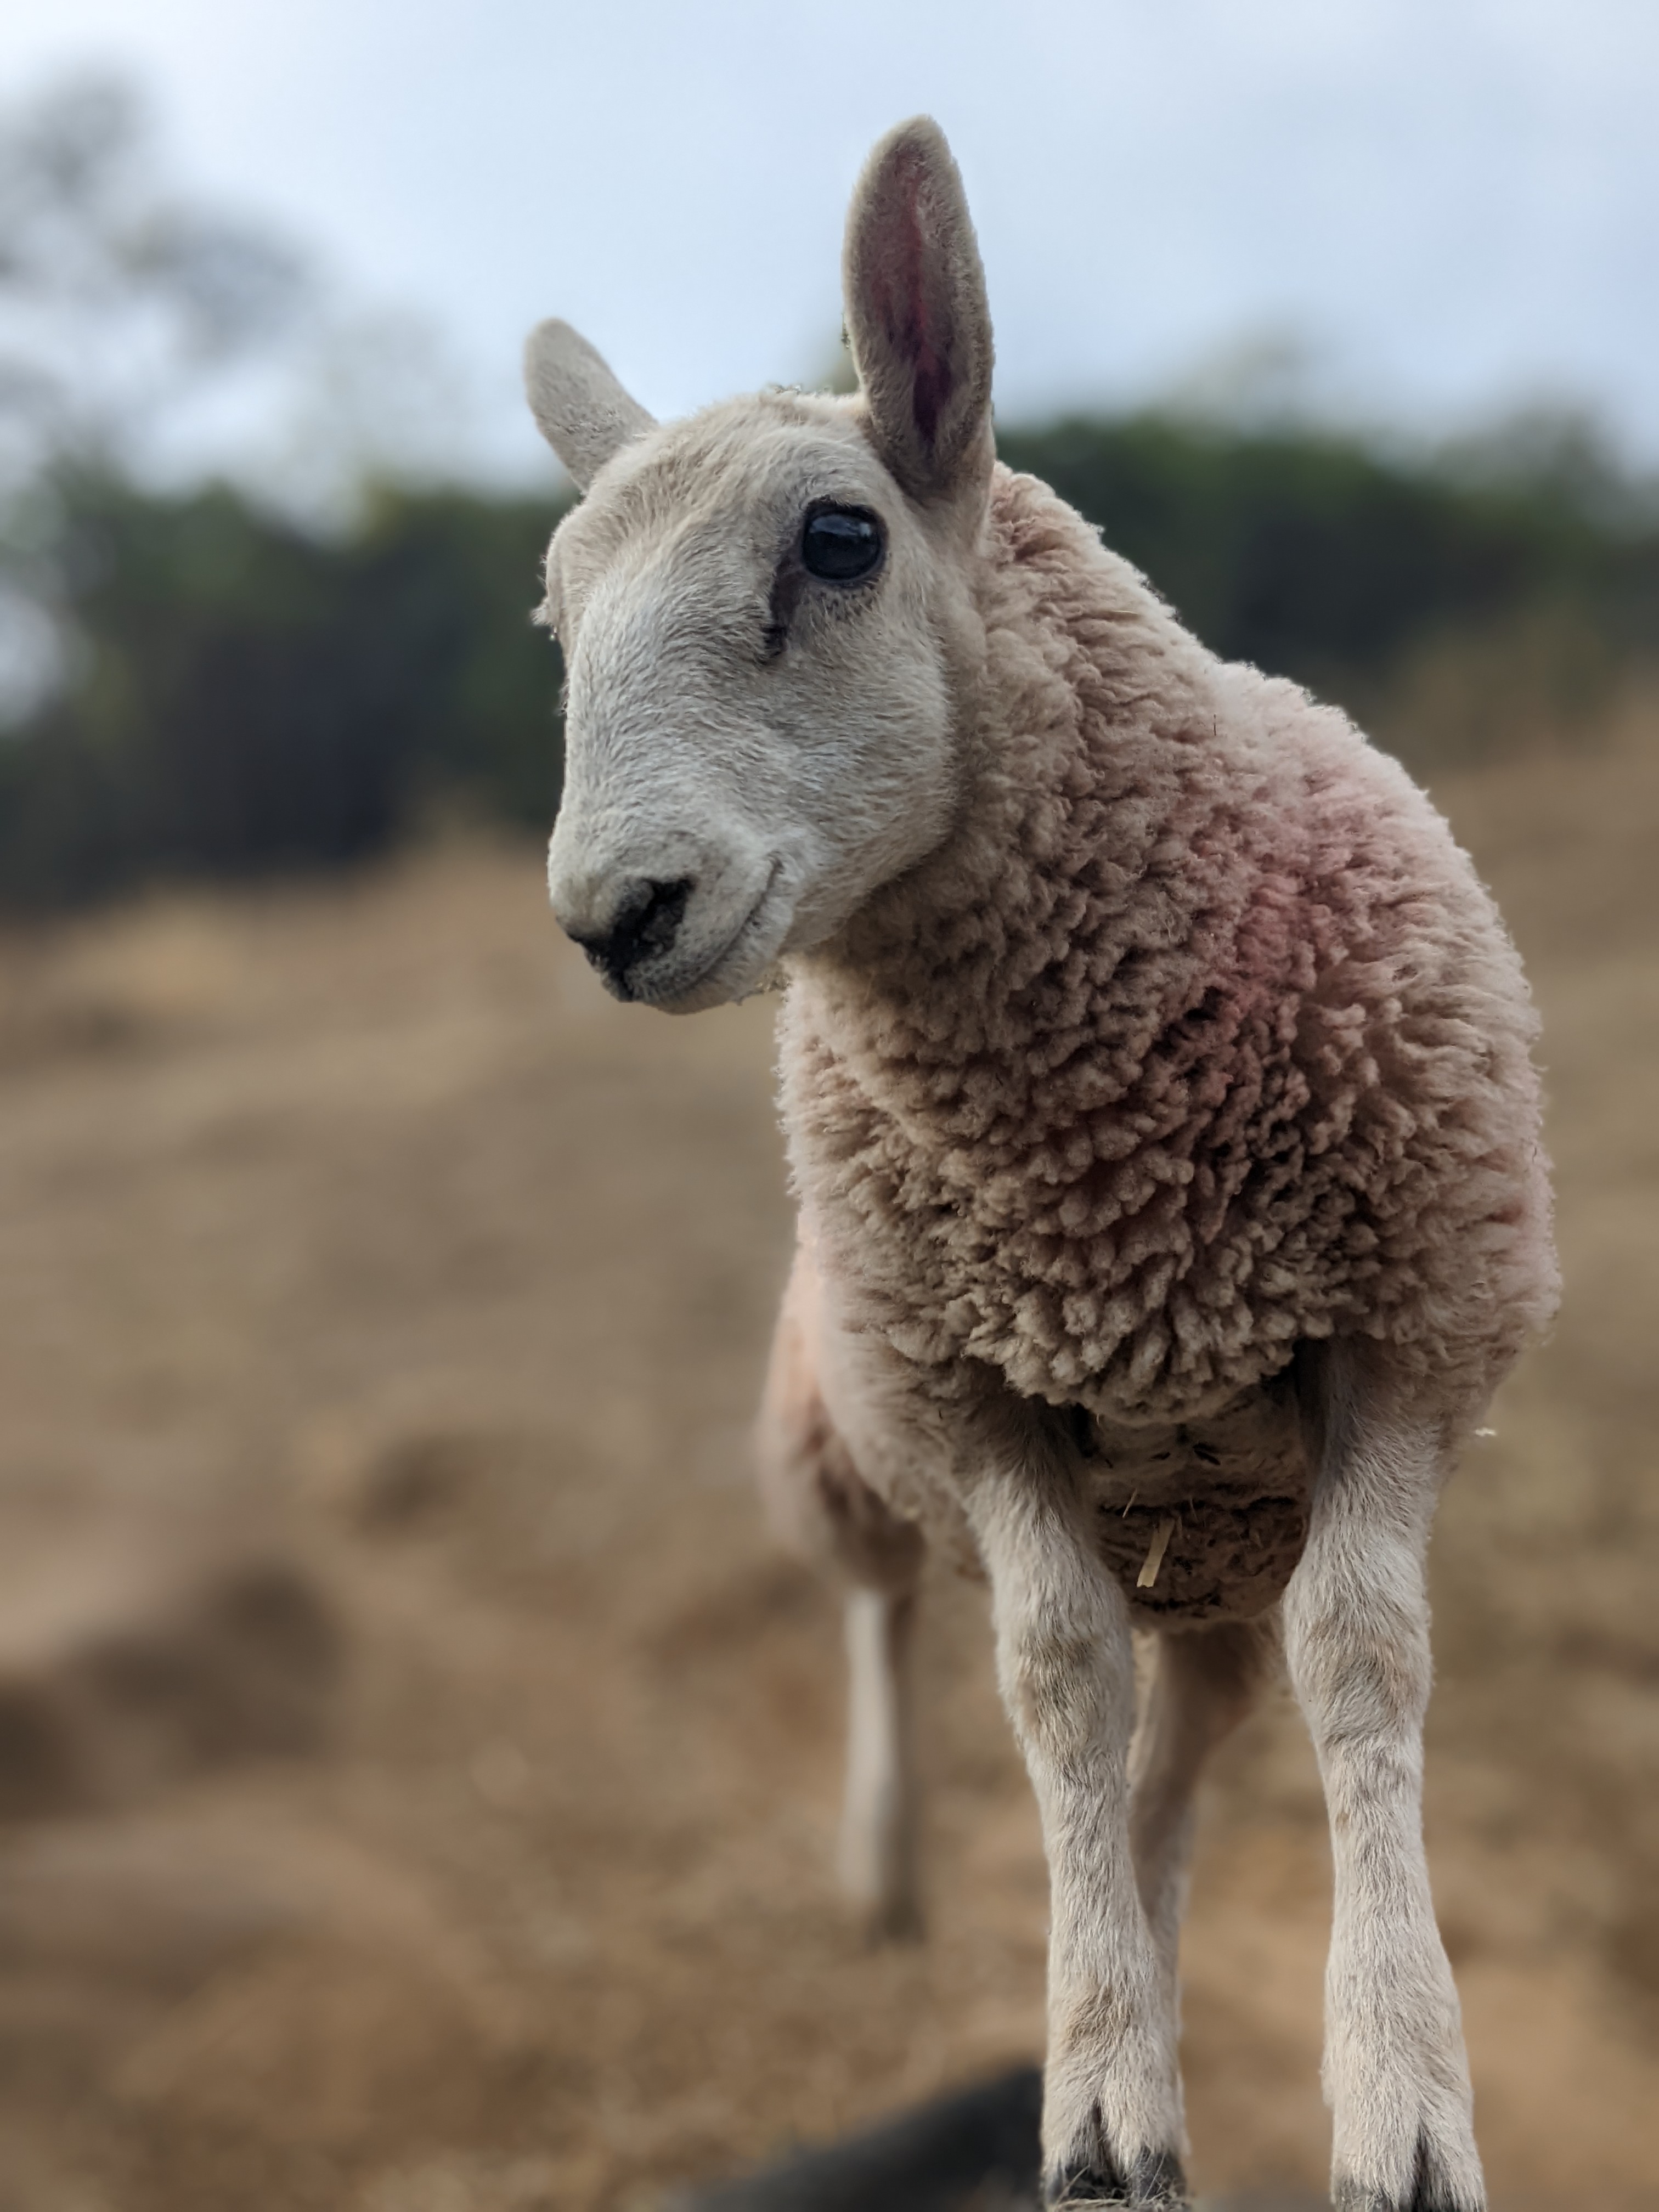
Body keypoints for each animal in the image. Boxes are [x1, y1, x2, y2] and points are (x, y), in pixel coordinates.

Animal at [521, 117, 1557, 2212]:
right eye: (557, 624)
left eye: (839, 541)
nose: (613, 914)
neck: (1110, 1190)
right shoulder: (971, 1392)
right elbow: (1050, 1674)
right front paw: (1096, 2108)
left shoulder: (1400, 1335)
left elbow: (1360, 1657)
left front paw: (1390, 2095)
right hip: (842, 1412)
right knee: (885, 1610)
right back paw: (897, 1874)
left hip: (1219, 1535)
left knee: (1190, 1732)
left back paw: (1135, 1926)